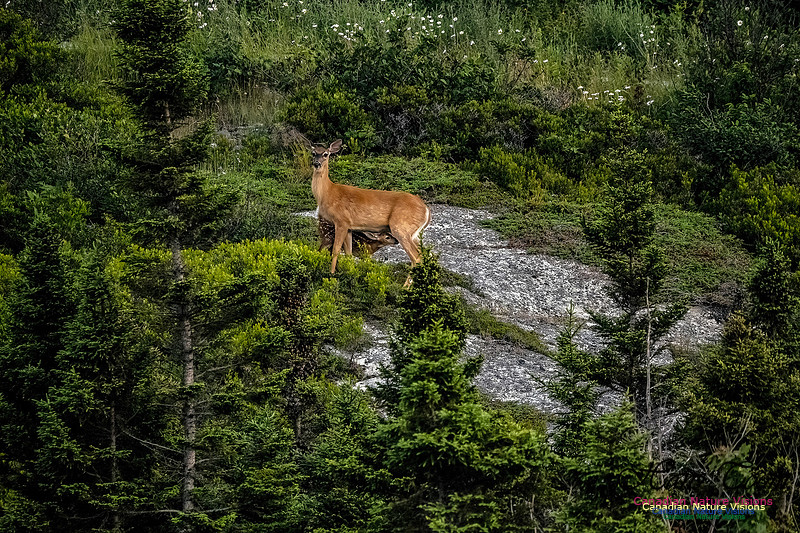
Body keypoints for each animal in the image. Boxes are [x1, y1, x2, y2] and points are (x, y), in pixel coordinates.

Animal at [306, 139, 431, 285]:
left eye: (326, 154)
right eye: (313, 153)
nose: (316, 163)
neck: (327, 193)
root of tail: (426, 210)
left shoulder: (341, 221)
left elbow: (336, 250)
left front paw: (331, 275)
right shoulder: (350, 227)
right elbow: (348, 252)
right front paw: (350, 274)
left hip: (401, 227)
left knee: (416, 258)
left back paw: (405, 287)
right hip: (415, 234)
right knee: (426, 254)